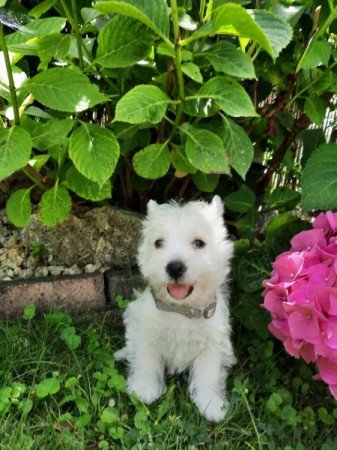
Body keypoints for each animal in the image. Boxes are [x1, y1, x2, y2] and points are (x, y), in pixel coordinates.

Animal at [114, 196, 235, 422]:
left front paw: (212, 404)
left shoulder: (213, 342)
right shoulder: (146, 332)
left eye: (199, 243)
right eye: (158, 243)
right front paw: (144, 388)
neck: (182, 310)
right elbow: (146, 360)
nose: (175, 267)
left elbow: (209, 374)